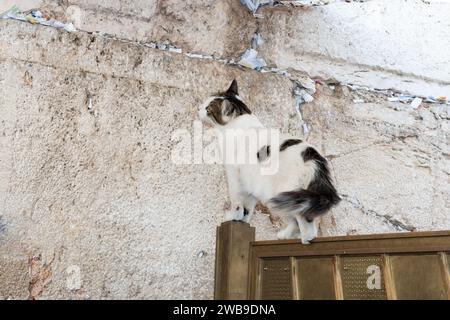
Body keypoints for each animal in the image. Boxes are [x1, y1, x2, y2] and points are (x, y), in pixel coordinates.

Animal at [199, 80, 340, 242]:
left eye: (208, 108)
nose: (199, 108)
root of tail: (312, 155)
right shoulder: (250, 184)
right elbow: (248, 208)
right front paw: (243, 221)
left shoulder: (234, 175)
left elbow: (237, 202)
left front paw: (233, 216)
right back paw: (286, 236)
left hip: (282, 196)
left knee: (304, 222)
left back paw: (303, 239)